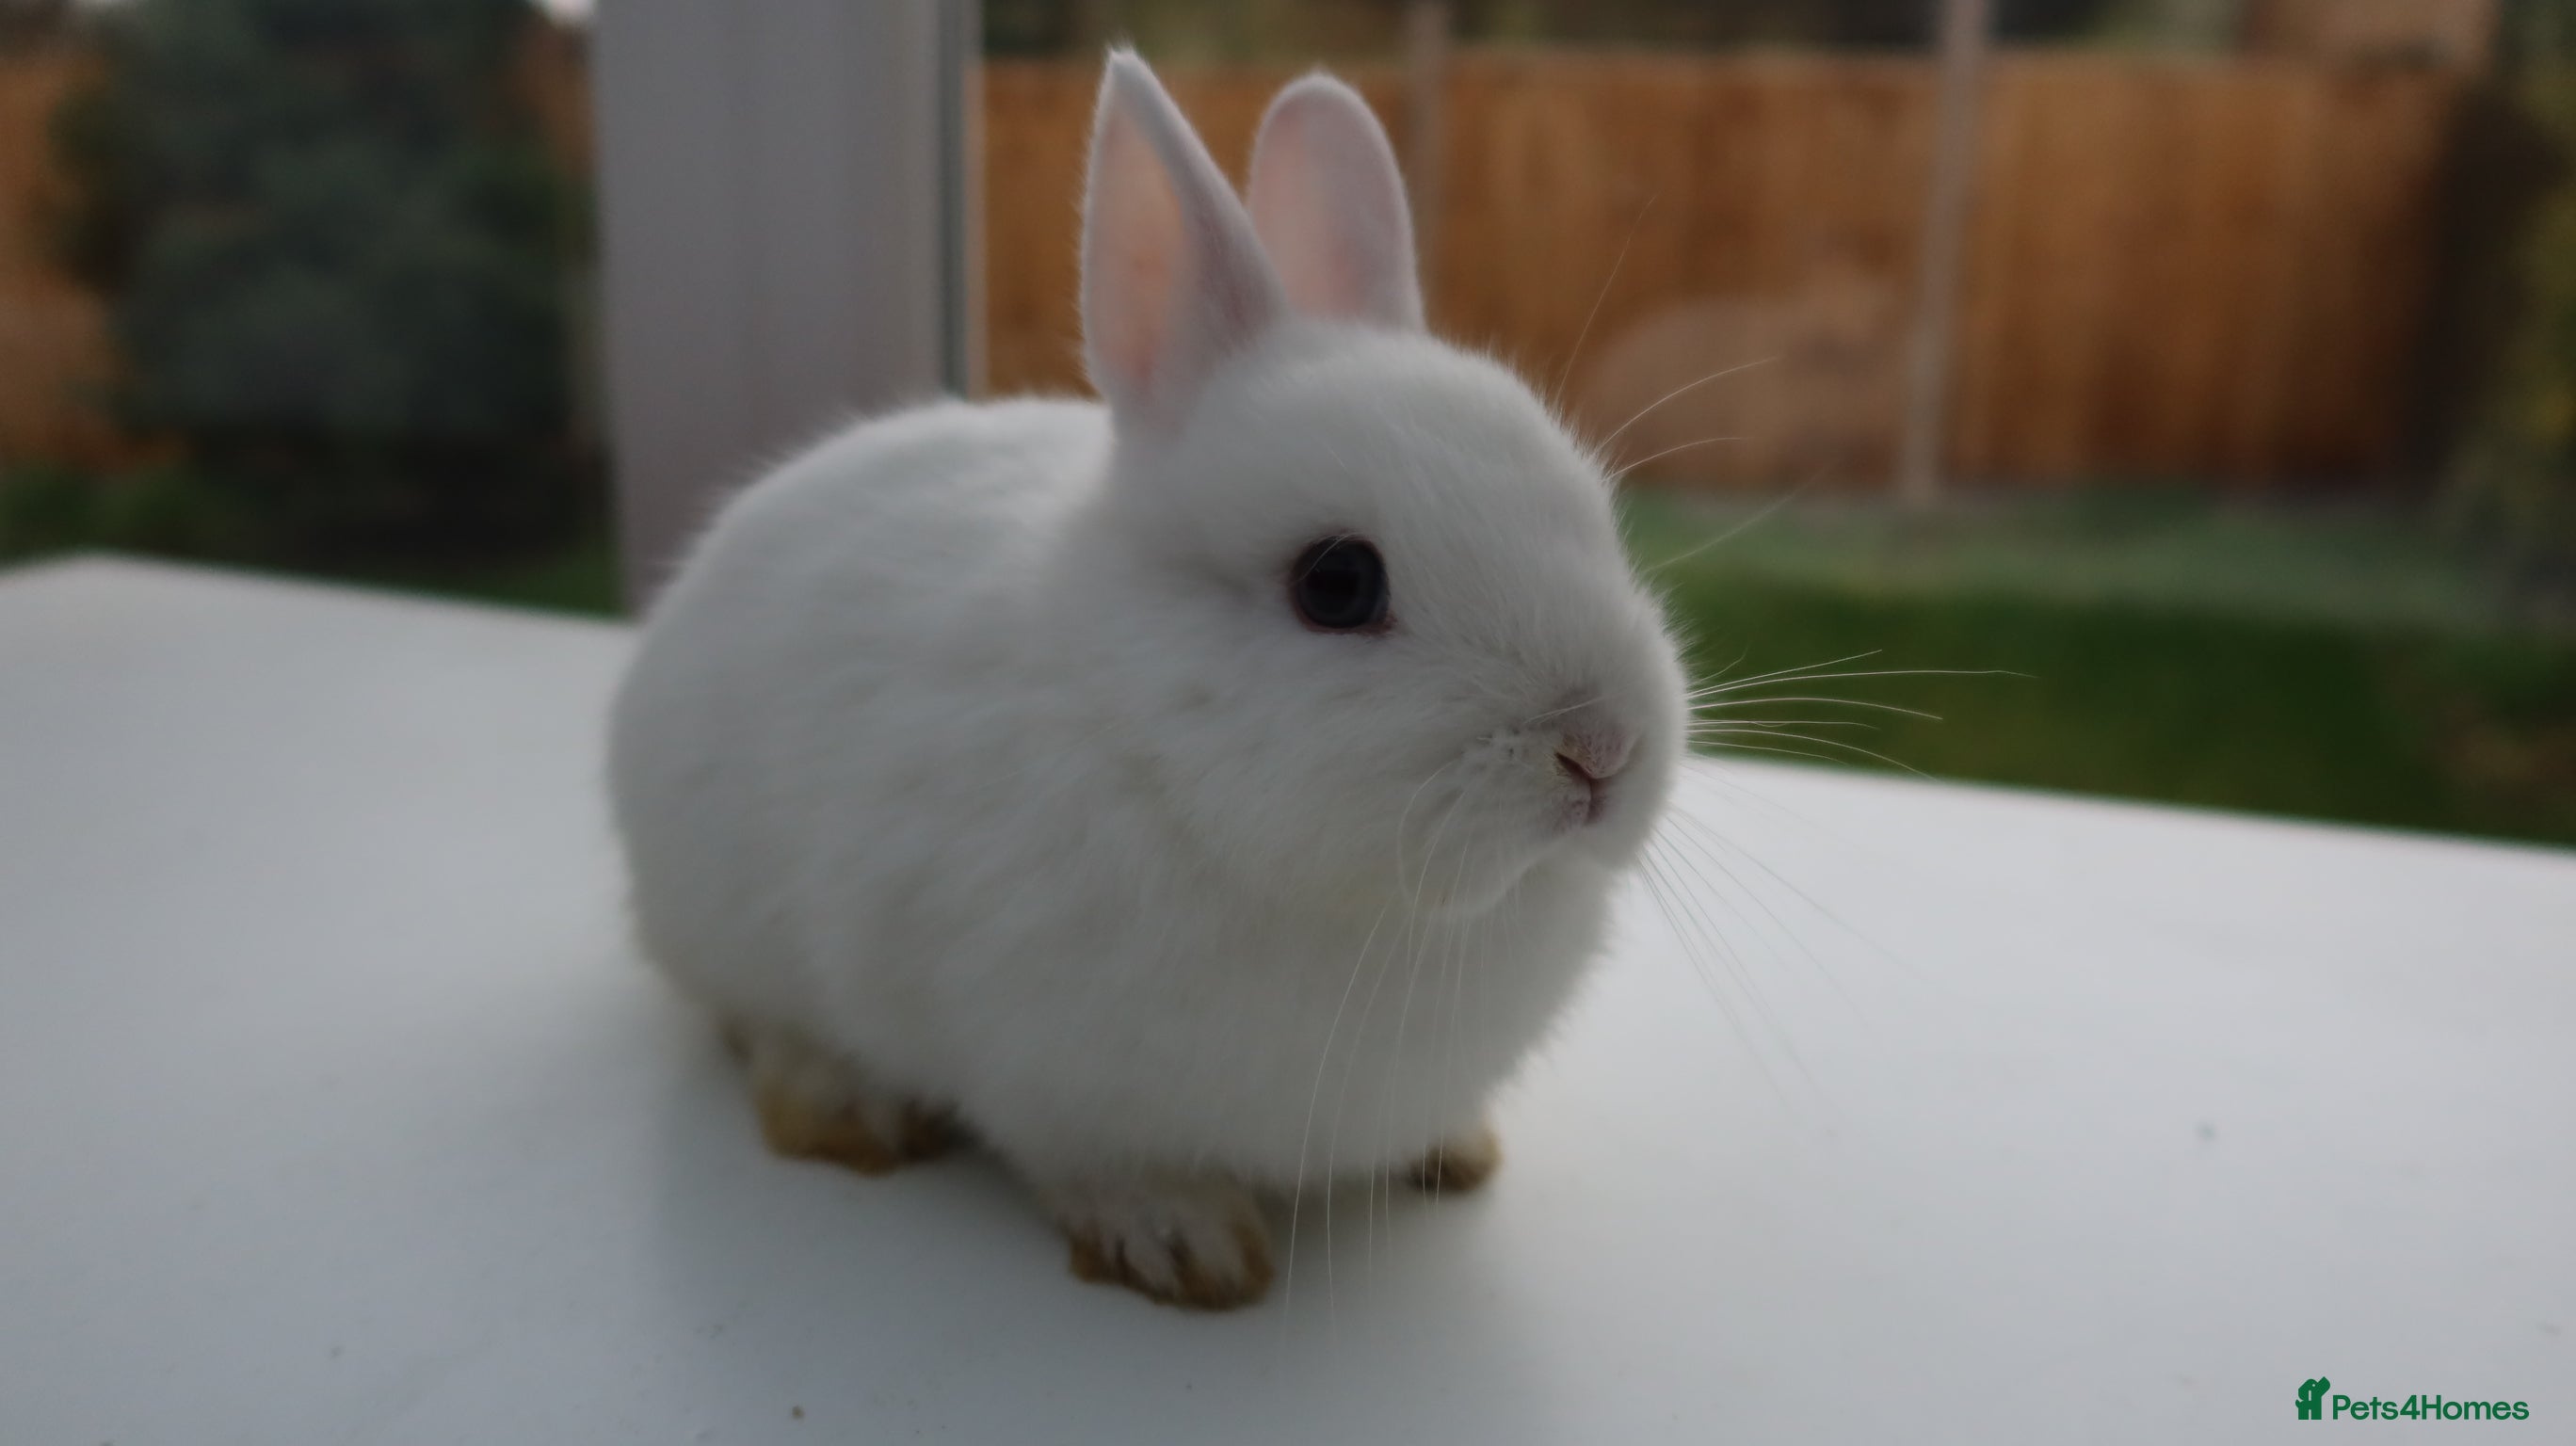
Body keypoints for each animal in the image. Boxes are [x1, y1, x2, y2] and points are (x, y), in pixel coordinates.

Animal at [607, 50, 1688, 1311]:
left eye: (1587, 507)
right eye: (1337, 583)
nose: (1600, 750)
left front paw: (1453, 1148)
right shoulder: (1040, 1069)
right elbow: (1093, 1159)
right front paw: (1188, 1245)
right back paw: (847, 1111)